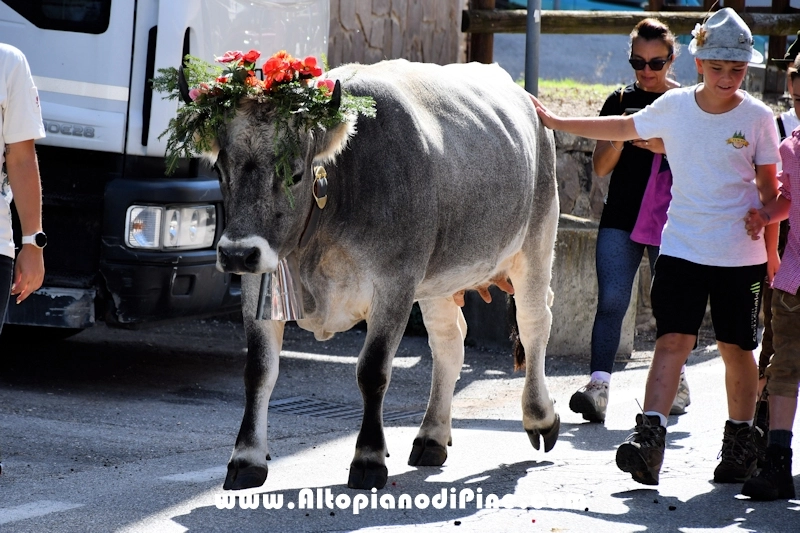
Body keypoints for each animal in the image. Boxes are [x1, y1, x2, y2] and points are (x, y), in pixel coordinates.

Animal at [204, 59, 559, 491]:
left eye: (295, 174)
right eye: (221, 169)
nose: (237, 253)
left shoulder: (395, 284)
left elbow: (372, 370)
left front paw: (368, 458)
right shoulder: (259, 281)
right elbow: (258, 370)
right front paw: (246, 457)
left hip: (537, 239)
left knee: (534, 323)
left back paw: (540, 417)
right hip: (438, 279)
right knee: (449, 342)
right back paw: (432, 436)